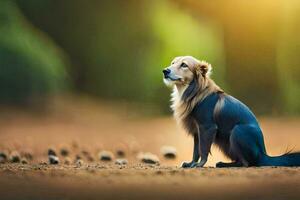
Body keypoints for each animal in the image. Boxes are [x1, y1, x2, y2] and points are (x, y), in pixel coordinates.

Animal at [163, 55, 300, 167]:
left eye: (184, 65)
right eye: (172, 63)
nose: (165, 71)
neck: (193, 91)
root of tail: (263, 155)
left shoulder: (207, 127)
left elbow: (203, 149)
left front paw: (199, 165)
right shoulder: (197, 130)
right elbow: (196, 151)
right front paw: (191, 163)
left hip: (236, 131)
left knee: (246, 163)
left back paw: (224, 164)